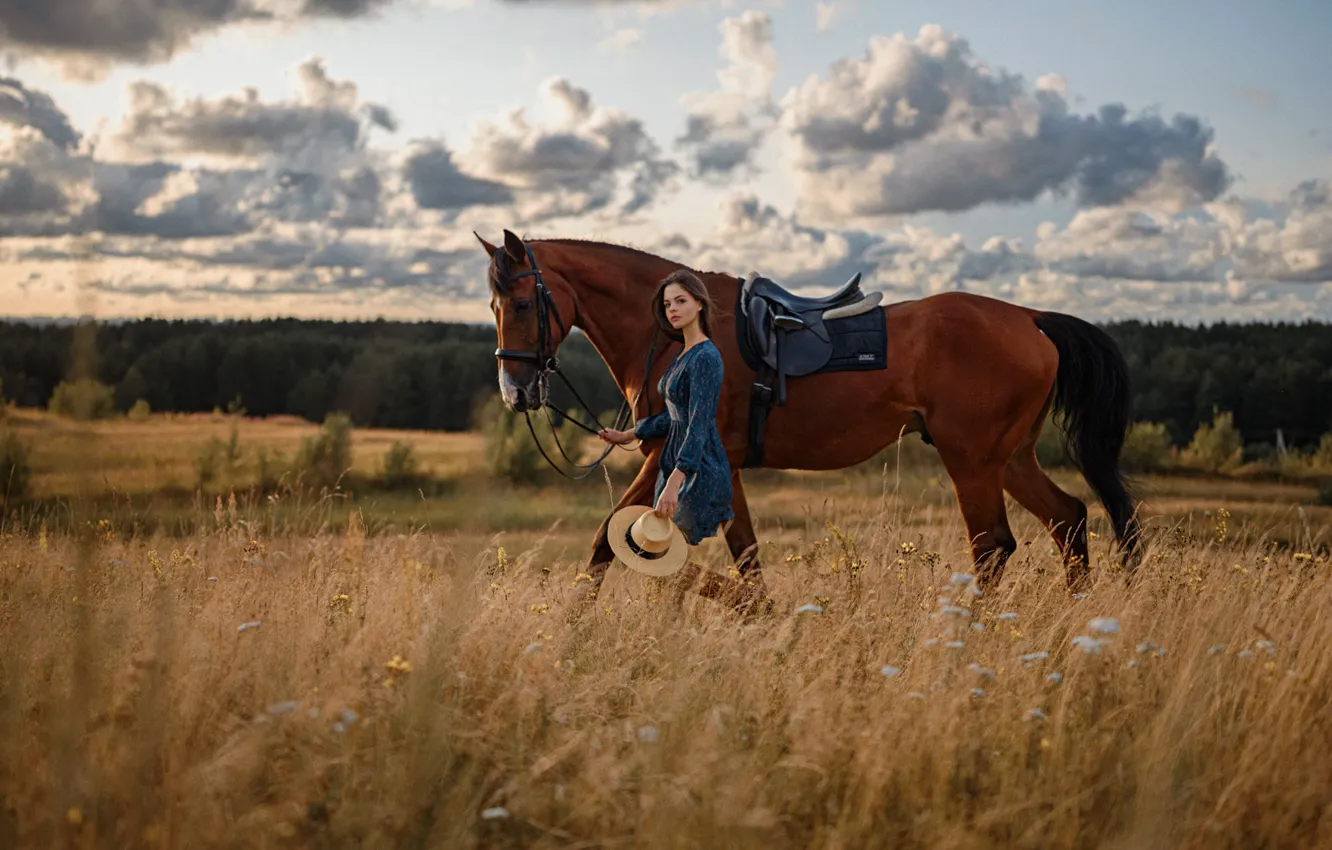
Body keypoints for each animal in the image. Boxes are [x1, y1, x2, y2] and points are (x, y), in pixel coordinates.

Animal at [479, 229, 1145, 610]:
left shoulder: (670, 456)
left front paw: (572, 637)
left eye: (522, 303)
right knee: (1068, 519)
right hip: (1010, 458)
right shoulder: (720, 468)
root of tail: (1030, 318)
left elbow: (604, 542)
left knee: (993, 547)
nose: (516, 391)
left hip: (973, 461)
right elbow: (744, 558)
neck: (669, 334)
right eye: (492, 305)